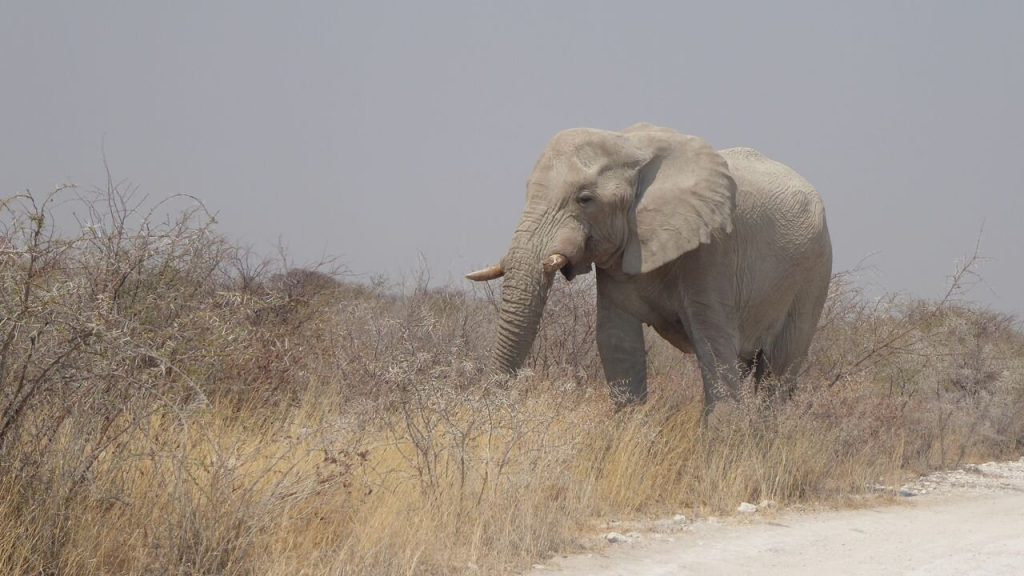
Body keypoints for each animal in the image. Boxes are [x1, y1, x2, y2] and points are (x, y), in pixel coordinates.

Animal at [467, 123, 832, 411]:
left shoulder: (713, 251)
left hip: (814, 273)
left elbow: (713, 346)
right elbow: (617, 341)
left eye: (585, 199)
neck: (631, 147)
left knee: (778, 371)